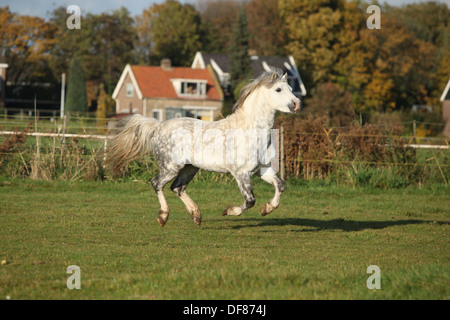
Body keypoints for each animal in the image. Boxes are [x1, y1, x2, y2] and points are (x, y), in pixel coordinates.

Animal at [107, 69, 300, 226]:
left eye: (291, 88)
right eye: (278, 89)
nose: (296, 104)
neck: (250, 130)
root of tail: (158, 126)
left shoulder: (263, 169)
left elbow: (280, 186)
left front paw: (267, 209)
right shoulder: (241, 173)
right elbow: (250, 200)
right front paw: (228, 211)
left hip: (189, 168)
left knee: (177, 188)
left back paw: (196, 215)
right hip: (171, 167)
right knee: (157, 183)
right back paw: (163, 216)